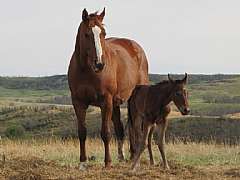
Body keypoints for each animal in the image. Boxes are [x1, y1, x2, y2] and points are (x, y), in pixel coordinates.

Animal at [67, 8, 149, 169]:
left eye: (103, 33)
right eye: (87, 34)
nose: (99, 64)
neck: (86, 70)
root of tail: (136, 48)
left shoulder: (106, 101)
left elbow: (105, 132)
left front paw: (107, 162)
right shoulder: (78, 102)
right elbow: (82, 132)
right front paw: (83, 162)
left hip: (132, 98)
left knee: (136, 126)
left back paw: (135, 155)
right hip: (116, 103)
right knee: (120, 128)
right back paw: (124, 156)